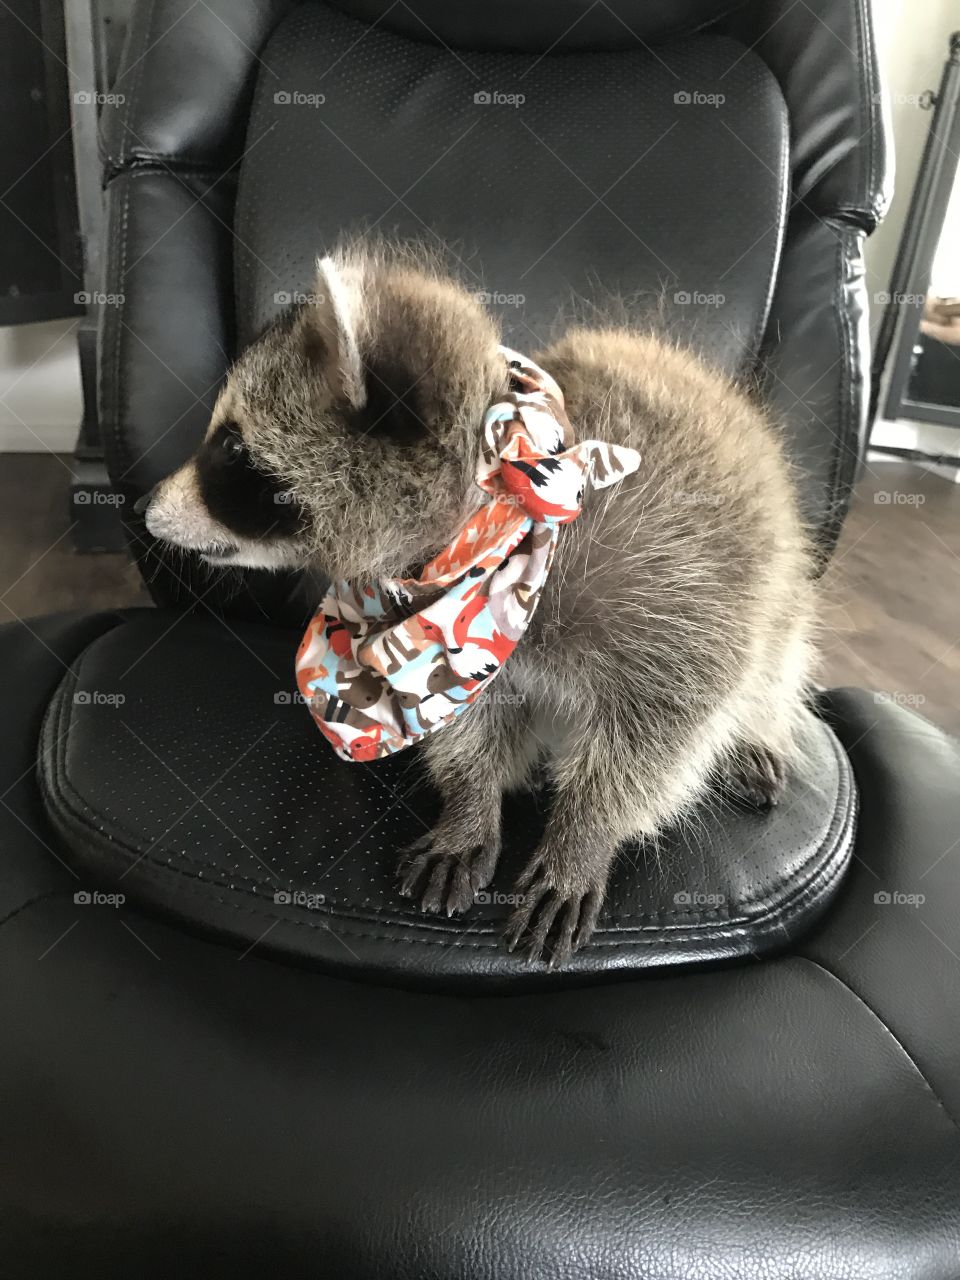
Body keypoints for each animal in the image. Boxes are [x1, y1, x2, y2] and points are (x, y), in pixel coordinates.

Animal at [142, 241, 815, 965]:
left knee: (770, 664)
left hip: (768, 589)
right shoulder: (452, 649)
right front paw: (470, 804)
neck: (495, 522)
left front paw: (585, 835)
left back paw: (754, 731)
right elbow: (467, 725)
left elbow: (661, 738)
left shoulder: (679, 594)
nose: (143, 506)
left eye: (231, 449)